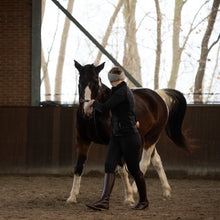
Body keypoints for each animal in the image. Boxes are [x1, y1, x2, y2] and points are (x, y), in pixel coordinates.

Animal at [66, 60, 192, 205]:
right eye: (80, 82)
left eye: (96, 83)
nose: (87, 110)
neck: (96, 116)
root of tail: (157, 95)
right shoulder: (83, 140)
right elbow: (78, 167)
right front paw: (72, 197)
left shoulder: (117, 142)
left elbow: (122, 170)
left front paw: (129, 197)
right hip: (146, 139)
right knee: (156, 160)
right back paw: (166, 191)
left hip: (152, 137)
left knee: (144, 163)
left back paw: (136, 190)